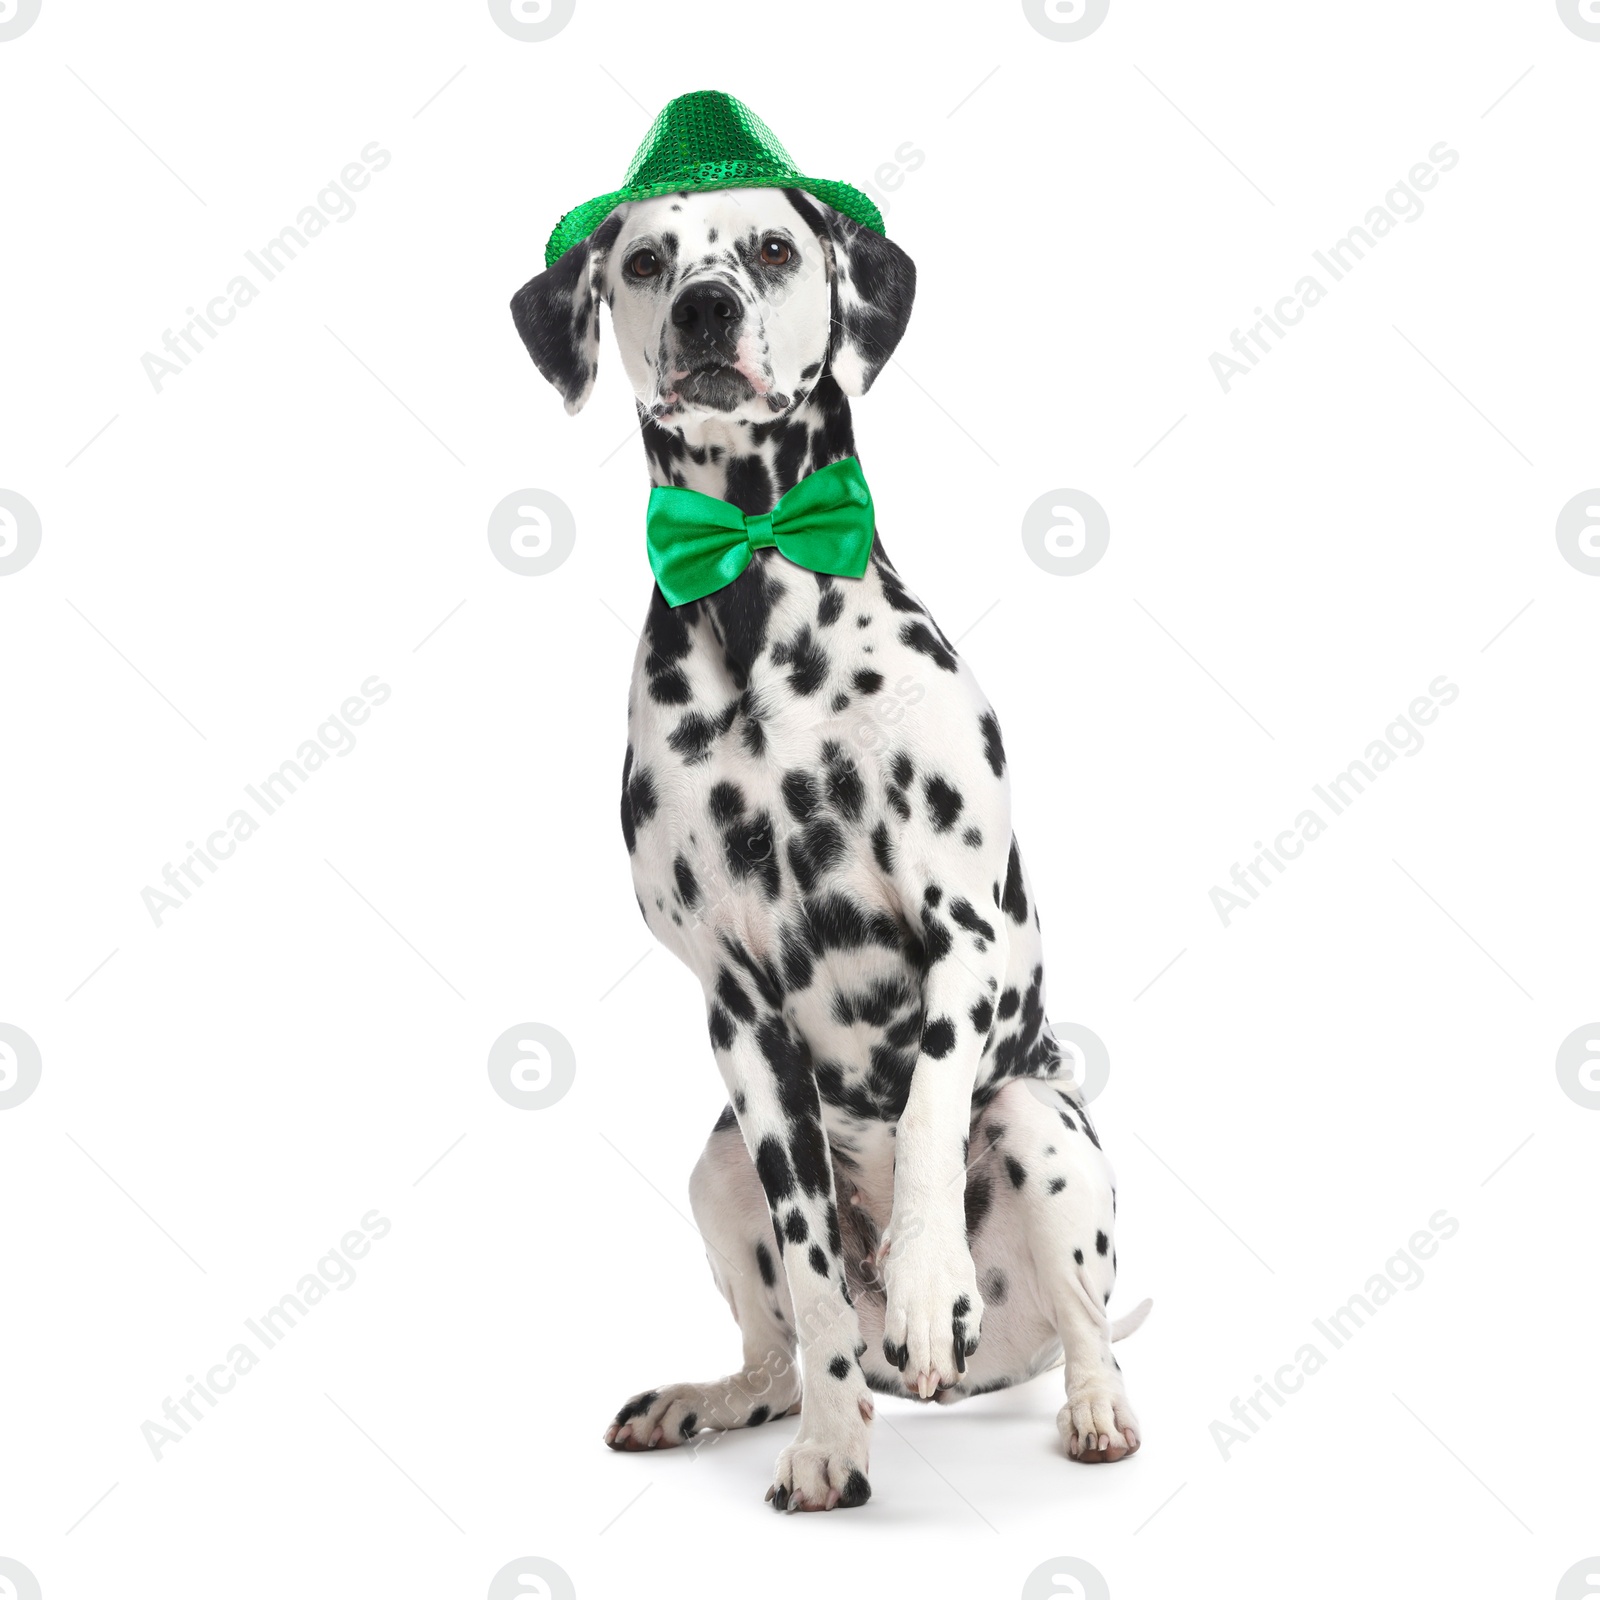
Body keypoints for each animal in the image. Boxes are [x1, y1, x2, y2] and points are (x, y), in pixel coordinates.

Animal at [505, 184, 1145, 1510]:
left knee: (1085, 1323)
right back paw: (720, 1398)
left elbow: (928, 1109)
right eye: (644, 259)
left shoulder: (962, 932)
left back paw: (1088, 1402)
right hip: (714, 1165)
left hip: (1044, 1126)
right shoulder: (739, 1013)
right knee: (781, 1352)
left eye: (772, 247)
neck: (757, 589)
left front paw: (922, 1282)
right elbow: (809, 1277)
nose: (705, 307)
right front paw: (834, 1450)